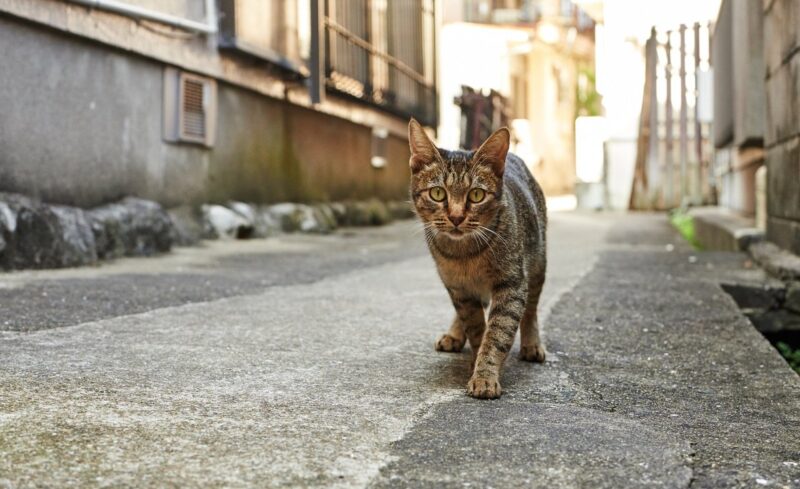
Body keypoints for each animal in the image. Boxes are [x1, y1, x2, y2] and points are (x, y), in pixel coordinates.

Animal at [410, 117, 548, 396]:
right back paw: (454, 334)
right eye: (438, 193)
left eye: (476, 195)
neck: (466, 256)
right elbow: (475, 326)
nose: (456, 217)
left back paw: (531, 343)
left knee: (531, 309)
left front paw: (485, 373)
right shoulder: (459, 288)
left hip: (538, 264)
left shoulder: (512, 285)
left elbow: (497, 334)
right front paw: (476, 359)